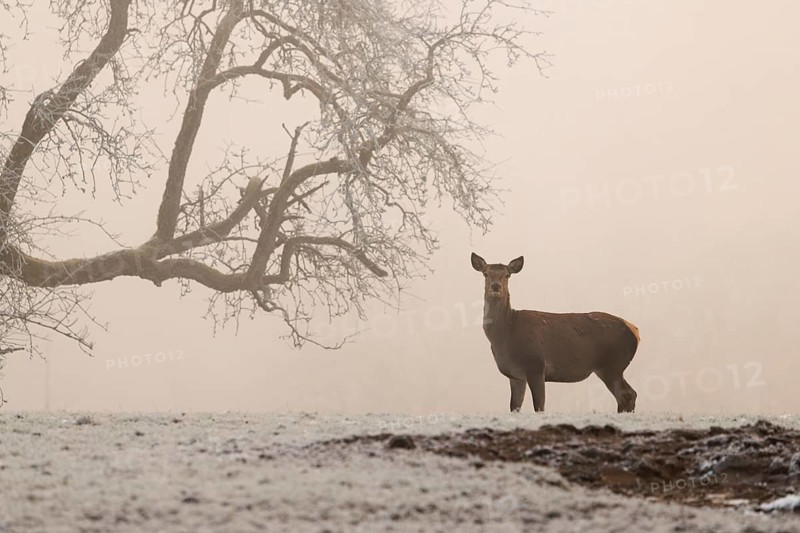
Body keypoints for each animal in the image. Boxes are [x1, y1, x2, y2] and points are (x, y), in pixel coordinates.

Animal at [471, 253, 640, 413]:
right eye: (485, 273)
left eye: (507, 275)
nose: (495, 286)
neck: (505, 334)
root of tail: (636, 331)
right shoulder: (515, 375)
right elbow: (514, 407)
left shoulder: (536, 365)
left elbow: (539, 405)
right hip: (610, 368)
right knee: (630, 394)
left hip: (613, 365)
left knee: (626, 395)